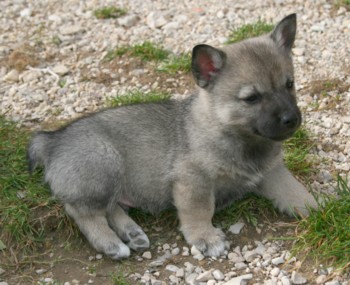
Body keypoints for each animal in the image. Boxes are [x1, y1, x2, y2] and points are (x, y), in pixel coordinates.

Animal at [27, 14, 318, 258]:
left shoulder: (273, 172)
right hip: (103, 166)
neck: (236, 136)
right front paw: (206, 237)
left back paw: (132, 233)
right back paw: (110, 243)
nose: (291, 120)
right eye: (251, 98)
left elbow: (295, 191)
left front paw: (320, 208)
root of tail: (52, 140)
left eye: (289, 85)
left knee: (111, 207)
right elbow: (199, 211)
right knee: (82, 211)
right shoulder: (193, 181)